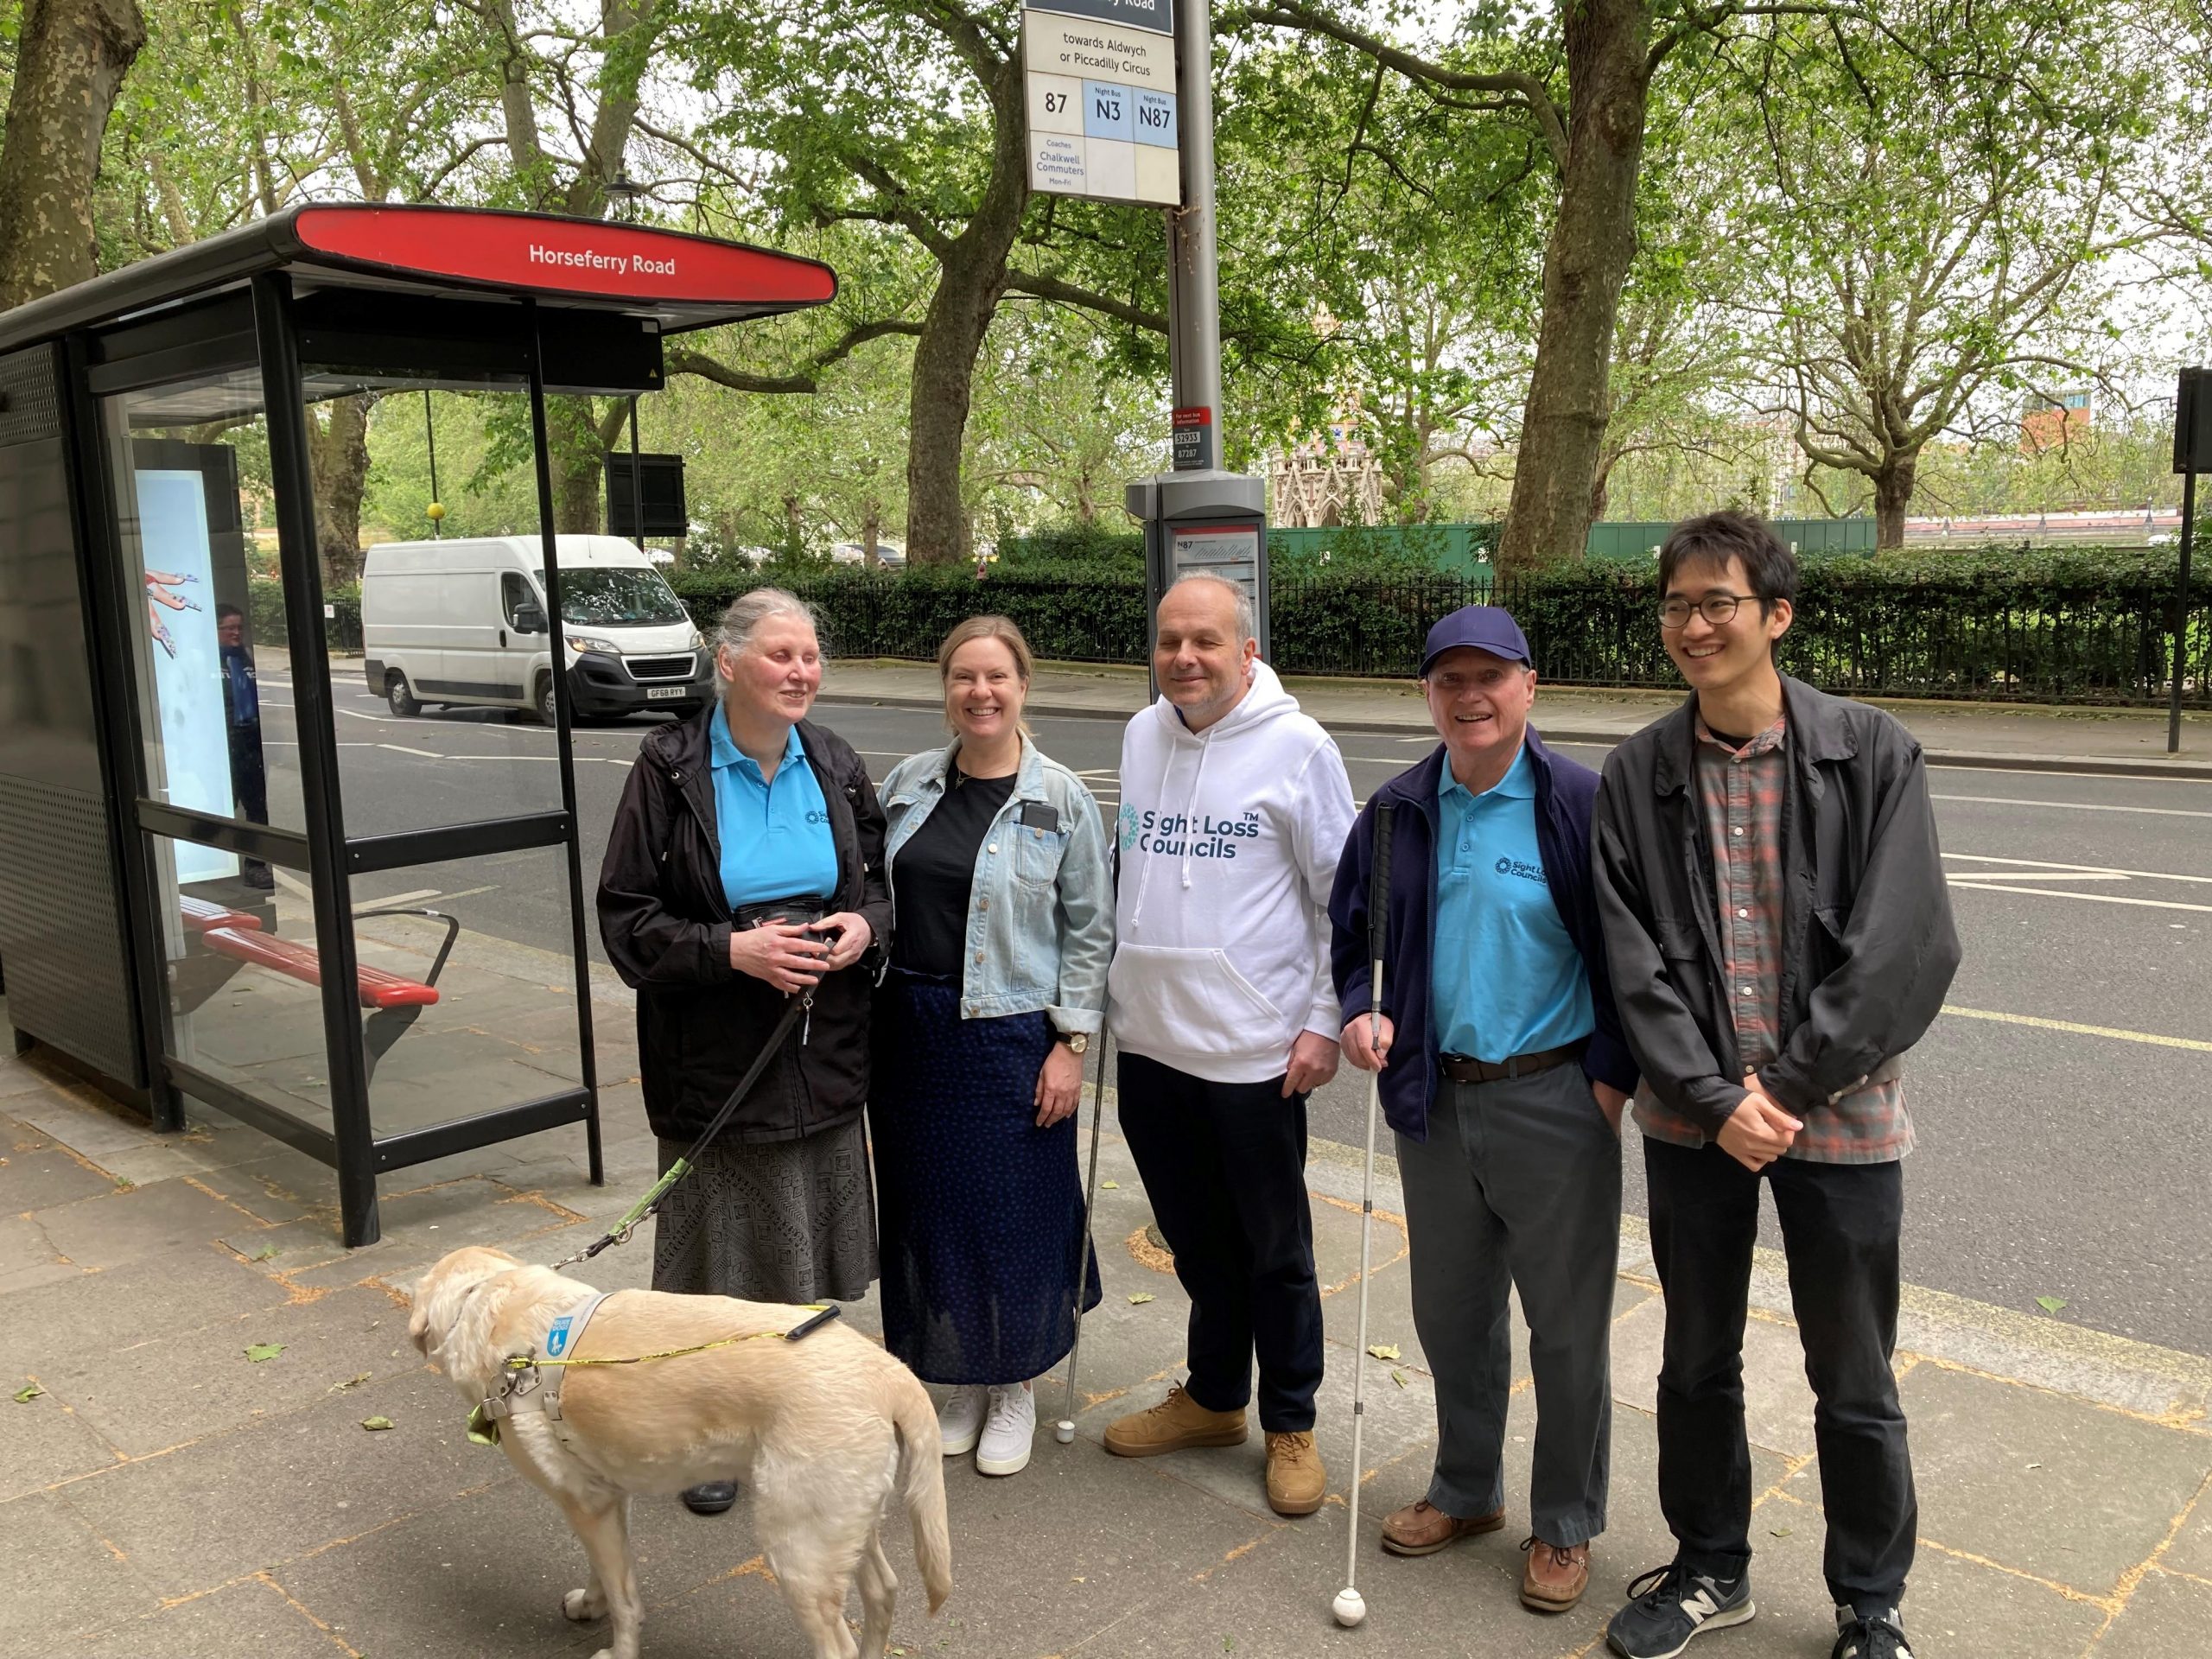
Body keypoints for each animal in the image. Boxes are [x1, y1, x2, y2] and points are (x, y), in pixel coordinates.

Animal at [411, 1256, 946, 1659]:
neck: (488, 1300)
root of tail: (890, 1372)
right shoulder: (606, 1497)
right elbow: (605, 1570)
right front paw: (591, 1602)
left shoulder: (585, 1502)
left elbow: (626, 1601)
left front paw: (619, 1651)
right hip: (842, 1524)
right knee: (883, 1592)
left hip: (799, 1550)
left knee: (838, 1645)